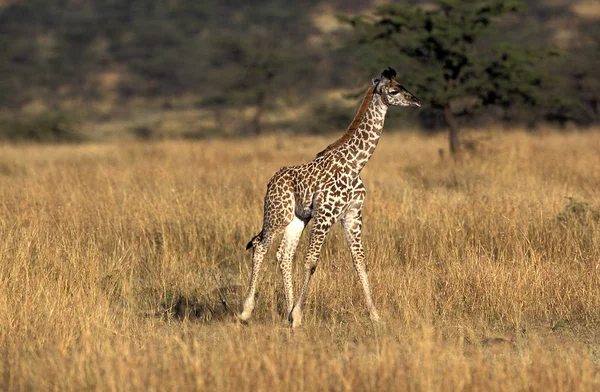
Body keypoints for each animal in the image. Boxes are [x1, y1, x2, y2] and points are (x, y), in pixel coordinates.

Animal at [239, 68, 422, 328]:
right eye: (394, 90)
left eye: (403, 85)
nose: (416, 101)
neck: (355, 164)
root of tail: (271, 182)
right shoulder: (325, 215)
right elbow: (311, 261)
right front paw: (298, 315)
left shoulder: (352, 215)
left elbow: (360, 261)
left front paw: (375, 316)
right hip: (278, 214)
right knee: (260, 247)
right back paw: (247, 311)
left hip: (297, 219)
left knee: (284, 255)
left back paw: (287, 311)